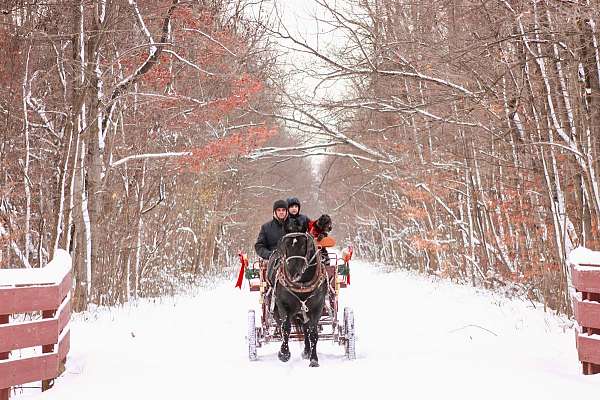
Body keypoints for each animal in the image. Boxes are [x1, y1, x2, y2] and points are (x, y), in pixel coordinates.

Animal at [272, 217, 328, 368]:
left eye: (304, 245)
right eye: (286, 244)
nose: (293, 274)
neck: (302, 283)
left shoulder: (317, 307)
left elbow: (313, 332)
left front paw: (314, 359)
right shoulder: (282, 304)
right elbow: (285, 328)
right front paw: (284, 353)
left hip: (304, 310)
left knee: (305, 328)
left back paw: (307, 351)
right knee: (280, 325)